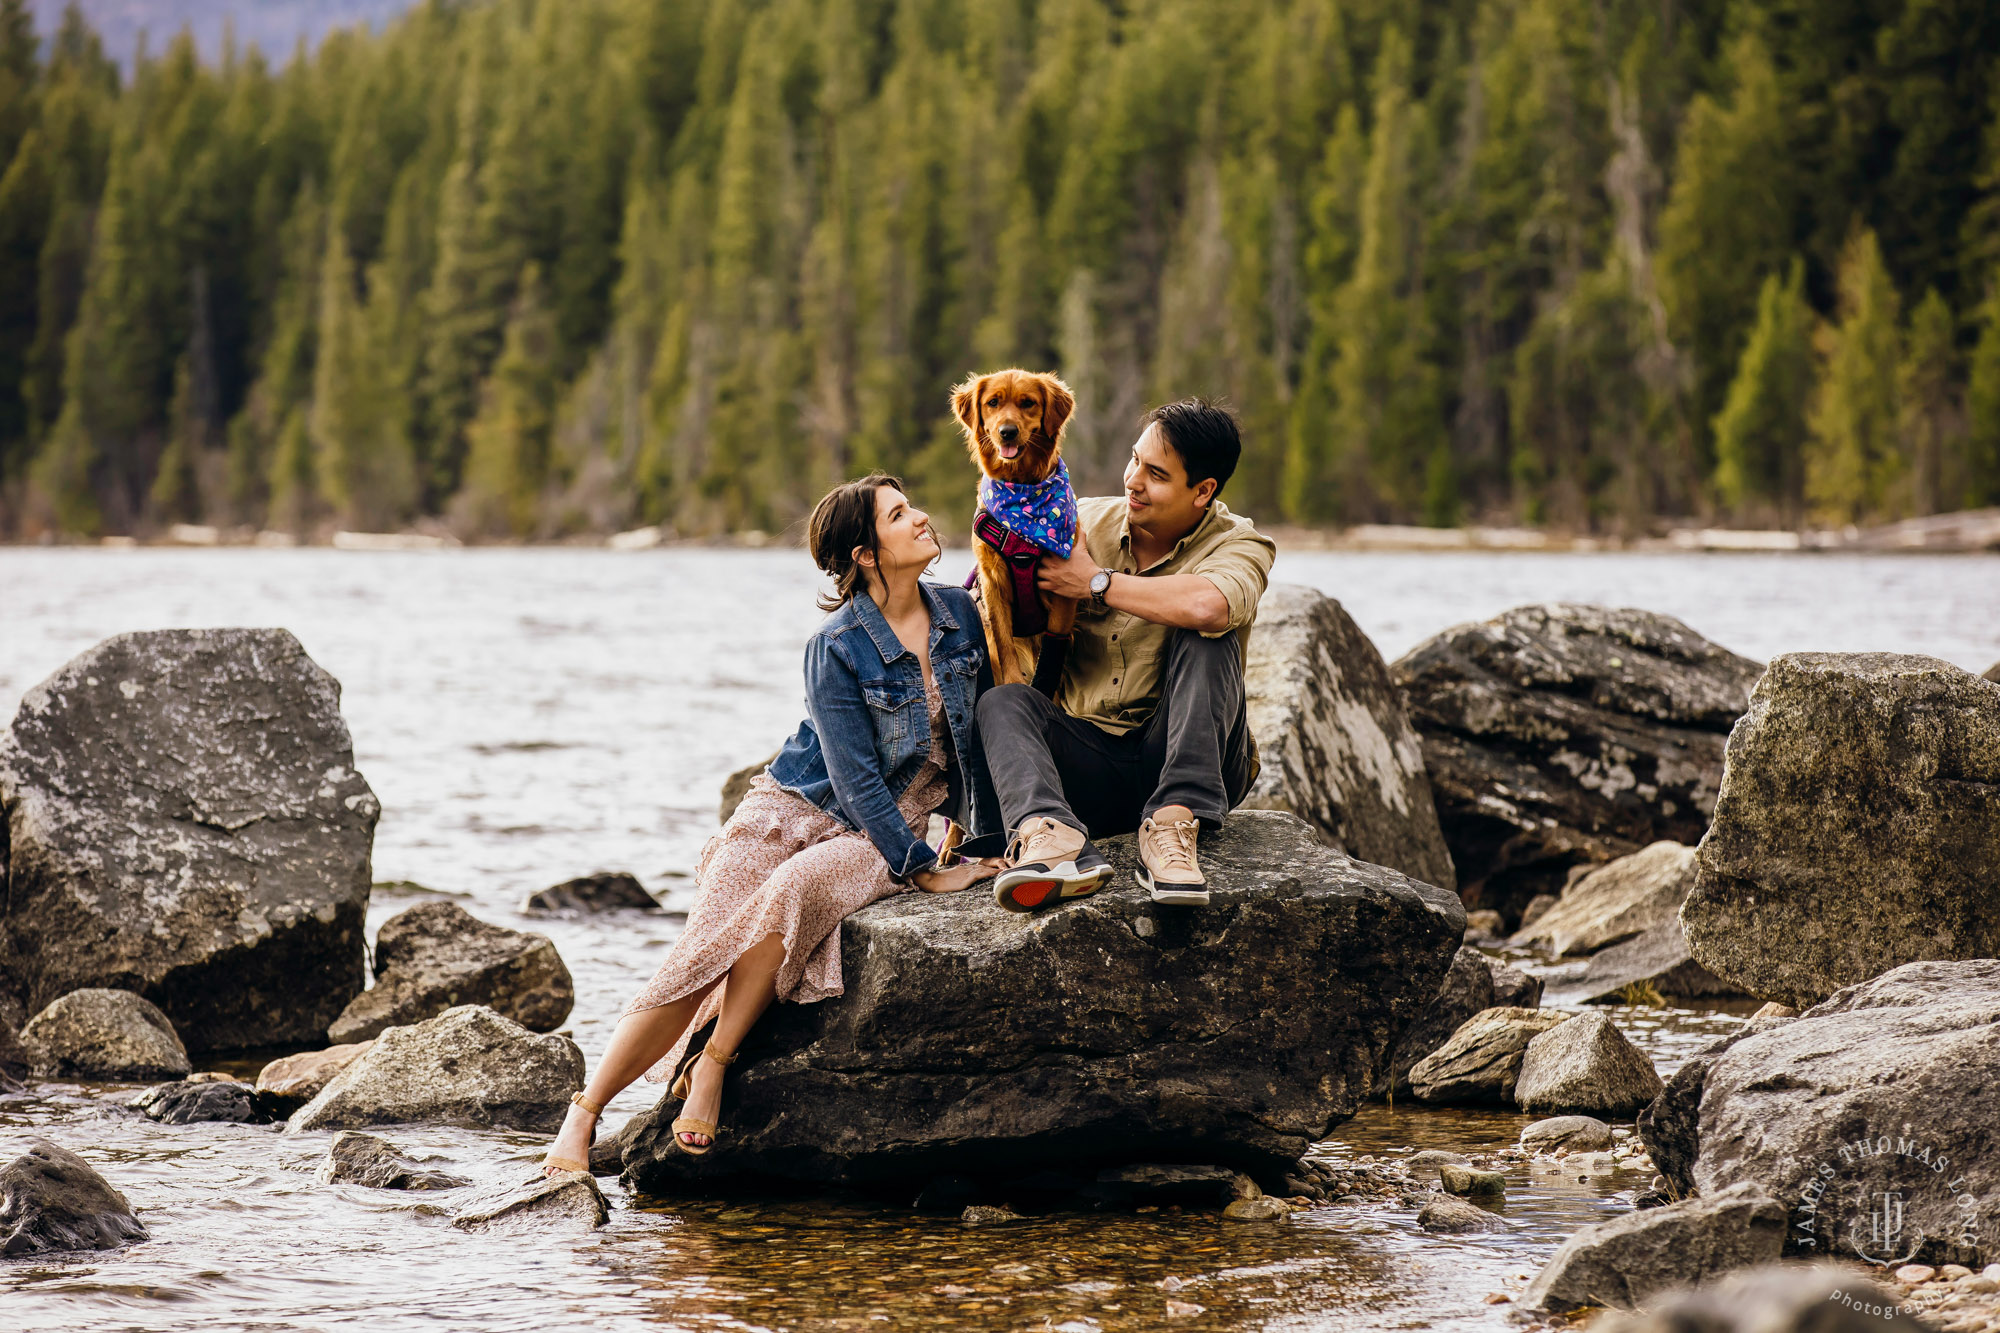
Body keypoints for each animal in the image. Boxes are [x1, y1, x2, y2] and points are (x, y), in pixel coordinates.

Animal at [948, 366, 1080, 688]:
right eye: (993, 403)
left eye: (1028, 403)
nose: (1007, 431)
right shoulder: (992, 583)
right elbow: (1004, 642)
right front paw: (1012, 682)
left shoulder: (1063, 592)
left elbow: (1051, 658)